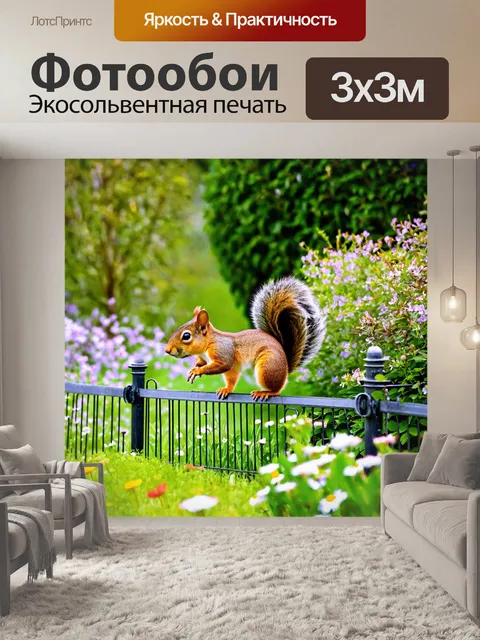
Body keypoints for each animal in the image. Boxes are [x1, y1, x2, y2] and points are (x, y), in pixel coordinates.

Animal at [165, 277, 326, 401]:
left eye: (186, 336)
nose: (167, 350)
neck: (206, 345)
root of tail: (286, 369)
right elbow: (203, 362)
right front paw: (195, 367)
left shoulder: (222, 351)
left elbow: (222, 364)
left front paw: (198, 371)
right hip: (238, 371)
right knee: (232, 382)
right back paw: (226, 389)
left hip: (267, 367)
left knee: (277, 390)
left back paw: (265, 392)